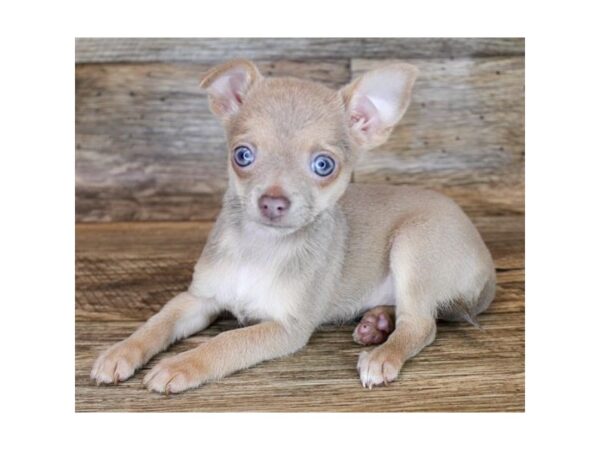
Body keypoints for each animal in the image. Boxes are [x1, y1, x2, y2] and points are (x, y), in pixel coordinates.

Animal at [91, 60, 494, 394]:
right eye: (242, 156)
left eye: (323, 165)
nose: (273, 202)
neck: (260, 246)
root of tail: (487, 264)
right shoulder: (197, 300)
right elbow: (157, 322)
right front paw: (120, 351)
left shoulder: (286, 328)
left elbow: (225, 342)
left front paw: (180, 365)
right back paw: (377, 323)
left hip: (413, 244)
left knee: (421, 323)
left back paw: (383, 354)